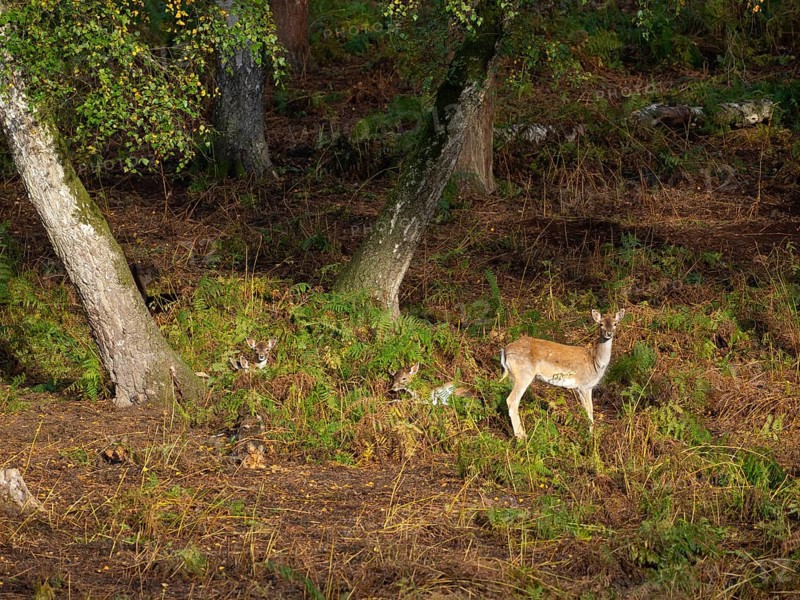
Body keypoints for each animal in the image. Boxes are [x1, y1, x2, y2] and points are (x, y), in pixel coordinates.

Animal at [500, 309, 625, 438]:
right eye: (601, 324)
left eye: (615, 324)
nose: (609, 333)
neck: (595, 363)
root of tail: (505, 350)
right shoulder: (583, 385)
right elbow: (589, 410)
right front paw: (590, 436)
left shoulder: (585, 387)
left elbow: (587, 409)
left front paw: (589, 433)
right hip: (524, 374)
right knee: (512, 401)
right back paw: (521, 436)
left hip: (512, 375)